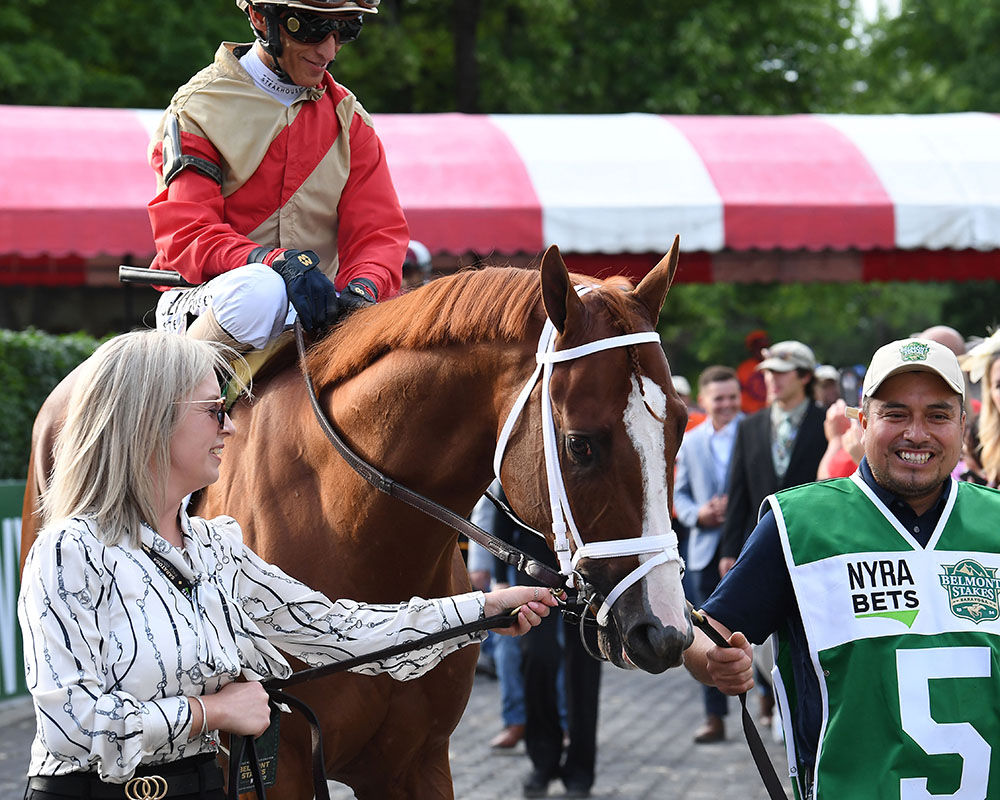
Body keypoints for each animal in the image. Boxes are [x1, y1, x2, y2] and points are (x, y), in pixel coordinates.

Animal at [21, 241, 696, 800]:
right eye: (581, 444)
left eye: (679, 428)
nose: (664, 630)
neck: (359, 534)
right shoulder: (279, 770)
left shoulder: (416, 765)